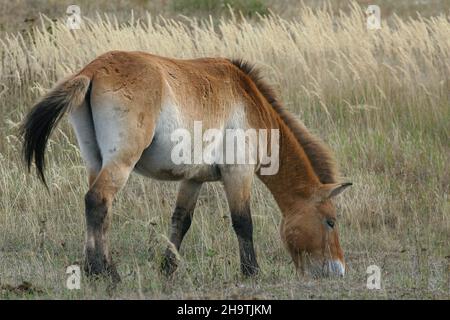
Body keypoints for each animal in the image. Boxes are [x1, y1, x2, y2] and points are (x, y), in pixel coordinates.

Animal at [21, 50, 352, 282]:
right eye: (330, 222)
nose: (338, 270)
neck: (249, 103)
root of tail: (93, 70)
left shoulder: (193, 180)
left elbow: (180, 221)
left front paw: (166, 269)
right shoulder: (238, 173)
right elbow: (243, 222)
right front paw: (252, 272)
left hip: (96, 161)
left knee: (99, 210)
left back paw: (96, 270)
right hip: (120, 162)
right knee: (98, 200)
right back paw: (105, 273)